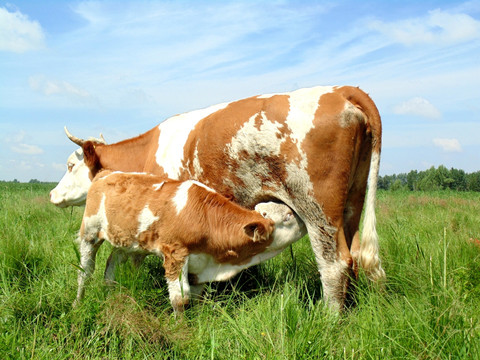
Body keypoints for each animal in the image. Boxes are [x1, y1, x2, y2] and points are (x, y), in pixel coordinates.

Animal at [73, 170, 302, 310]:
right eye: (288, 216)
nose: (303, 218)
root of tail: (106, 173)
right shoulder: (175, 253)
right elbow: (180, 300)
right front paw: (180, 330)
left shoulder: (201, 265)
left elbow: (197, 297)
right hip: (89, 233)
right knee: (85, 272)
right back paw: (78, 302)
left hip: (127, 242)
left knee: (111, 265)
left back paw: (109, 295)